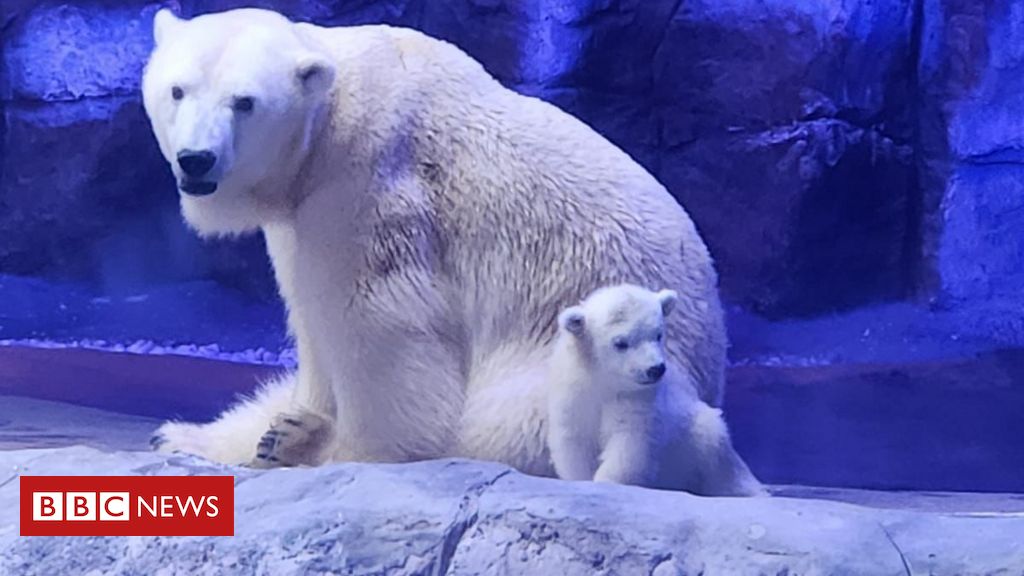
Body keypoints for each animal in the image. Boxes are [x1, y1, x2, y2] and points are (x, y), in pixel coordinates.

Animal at [144, 8, 729, 473]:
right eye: (177, 90)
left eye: (244, 102)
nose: (197, 159)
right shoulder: (300, 219)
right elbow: (311, 324)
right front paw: (241, 434)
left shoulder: (368, 181)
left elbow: (381, 324)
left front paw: (333, 446)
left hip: (599, 363)